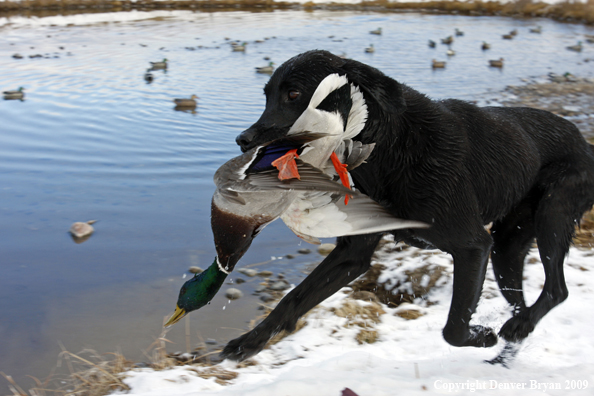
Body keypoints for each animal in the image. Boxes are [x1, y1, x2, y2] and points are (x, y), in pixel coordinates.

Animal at [221, 48, 592, 362]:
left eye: (294, 94)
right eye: (267, 95)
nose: (243, 140)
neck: (389, 149)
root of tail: (583, 140)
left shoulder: (473, 246)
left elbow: (453, 328)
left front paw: (482, 336)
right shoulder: (353, 254)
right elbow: (293, 297)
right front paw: (250, 341)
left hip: (551, 215)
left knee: (557, 290)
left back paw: (517, 328)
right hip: (507, 247)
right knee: (522, 298)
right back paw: (513, 342)